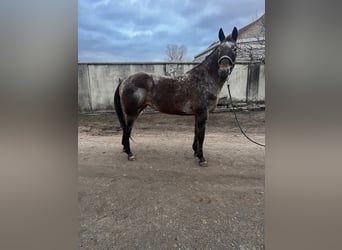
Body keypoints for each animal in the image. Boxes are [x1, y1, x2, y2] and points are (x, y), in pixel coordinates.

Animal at [115, 26, 238, 166]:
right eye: (220, 49)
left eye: (235, 48)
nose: (223, 71)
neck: (203, 79)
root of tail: (124, 80)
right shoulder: (202, 114)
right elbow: (201, 135)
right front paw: (202, 158)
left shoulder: (198, 114)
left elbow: (196, 132)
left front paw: (195, 152)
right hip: (132, 113)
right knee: (127, 130)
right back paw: (130, 154)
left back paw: (125, 149)